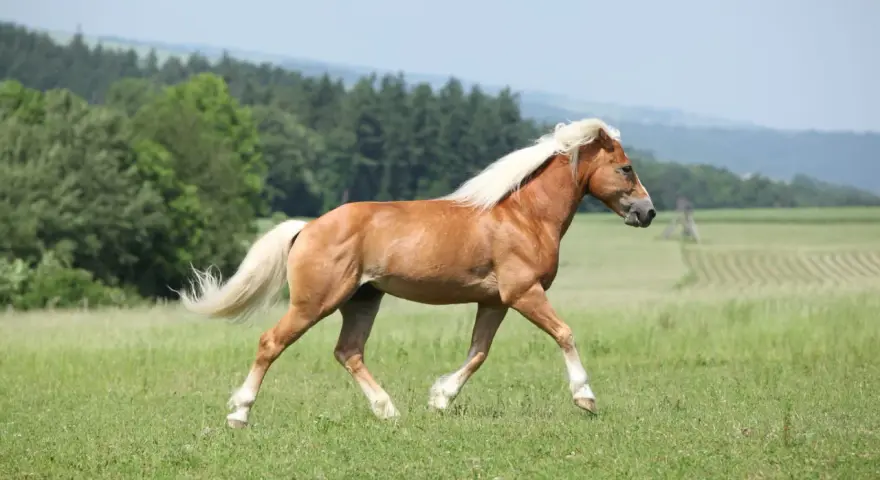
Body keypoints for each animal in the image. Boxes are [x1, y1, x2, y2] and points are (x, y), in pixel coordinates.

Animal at [179, 117, 656, 428]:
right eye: (626, 168)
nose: (647, 212)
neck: (523, 216)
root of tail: (307, 227)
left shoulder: (494, 301)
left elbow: (478, 354)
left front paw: (440, 400)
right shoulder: (525, 293)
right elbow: (564, 334)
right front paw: (586, 398)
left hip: (363, 300)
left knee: (348, 352)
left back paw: (389, 411)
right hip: (316, 302)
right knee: (271, 343)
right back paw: (239, 414)